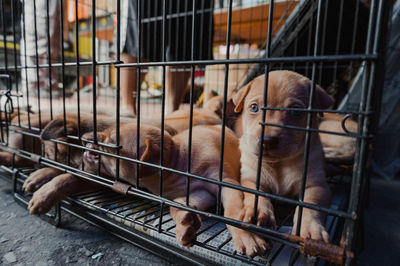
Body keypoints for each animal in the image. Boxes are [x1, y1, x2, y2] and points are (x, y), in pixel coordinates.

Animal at [231, 71, 334, 245]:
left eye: (296, 111)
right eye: (254, 108)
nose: (267, 140)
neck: (278, 163)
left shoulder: (316, 185)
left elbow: (309, 204)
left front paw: (311, 230)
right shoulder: (251, 178)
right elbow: (256, 194)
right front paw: (259, 212)